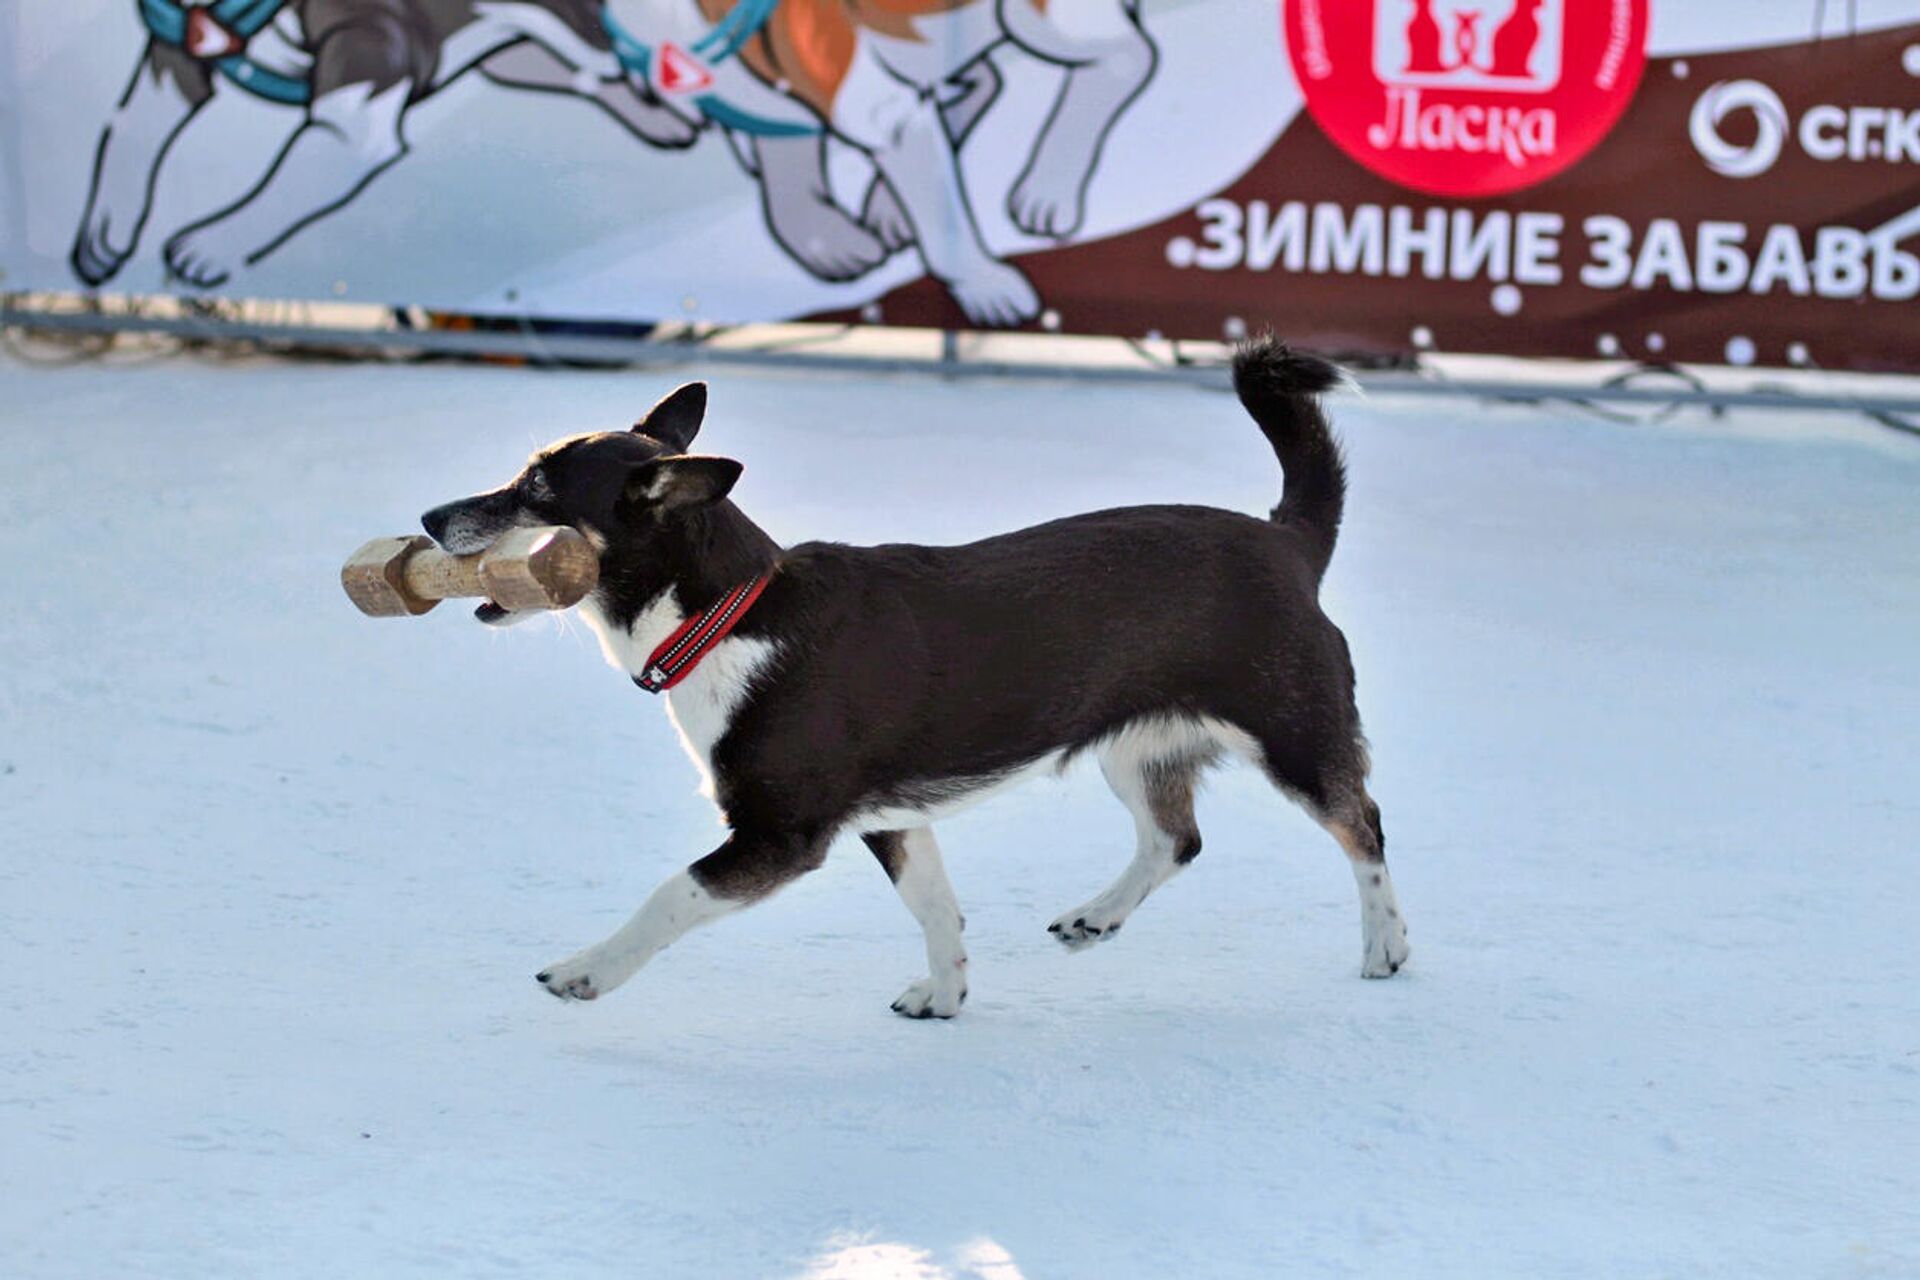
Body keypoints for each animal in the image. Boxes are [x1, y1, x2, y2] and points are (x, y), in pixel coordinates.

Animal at [424, 339, 1413, 1020]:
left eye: (538, 491)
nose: (432, 517)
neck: (725, 614)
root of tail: (1287, 539)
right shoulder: (892, 818)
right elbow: (939, 908)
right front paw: (945, 996)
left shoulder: (783, 833)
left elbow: (672, 896)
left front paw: (587, 969)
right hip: (1137, 744)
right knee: (1177, 840)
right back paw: (1095, 917)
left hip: (1294, 729)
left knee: (1362, 826)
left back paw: (1386, 946)